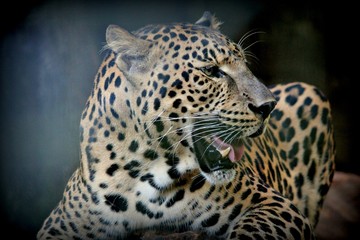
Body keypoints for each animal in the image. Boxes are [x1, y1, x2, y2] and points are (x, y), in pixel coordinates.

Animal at [36, 11, 334, 240]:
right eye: (211, 71)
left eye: (245, 65)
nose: (268, 106)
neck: (143, 170)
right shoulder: (61, 223)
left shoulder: (275, 205)